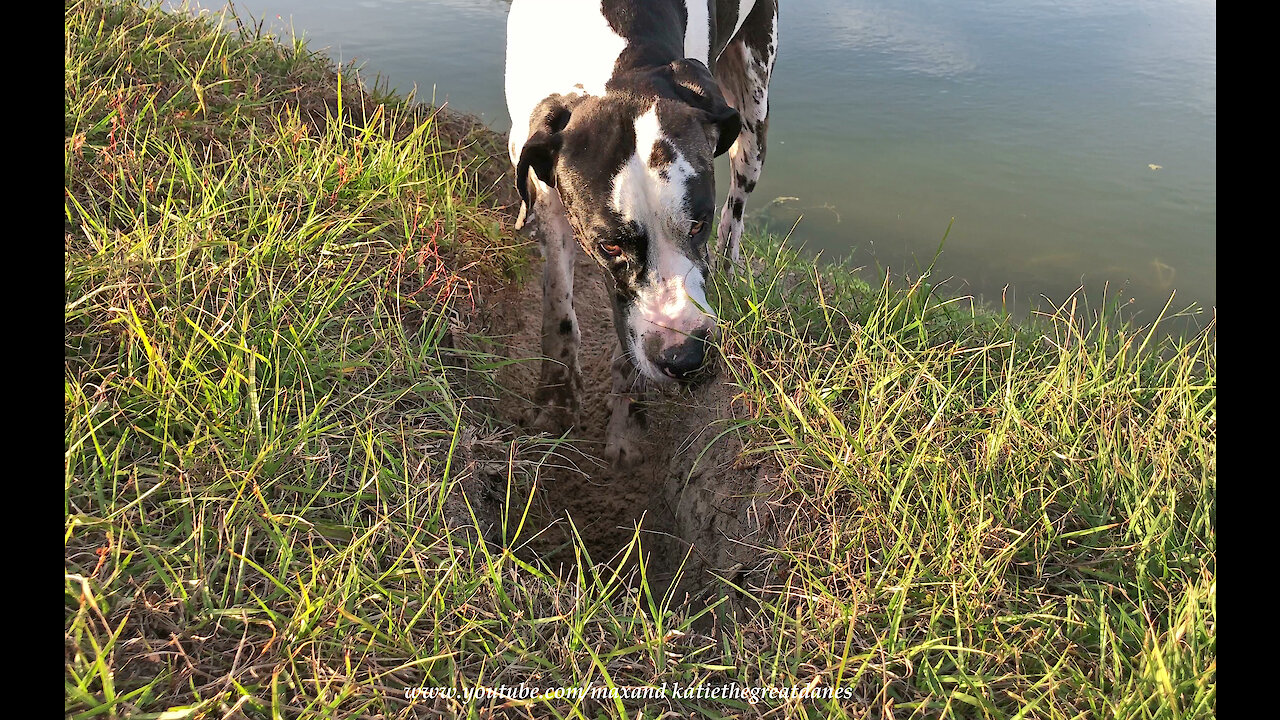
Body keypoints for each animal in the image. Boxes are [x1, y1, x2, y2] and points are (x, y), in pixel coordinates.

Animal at [504, 0, 773, 466]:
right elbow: (557, 308)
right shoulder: (545, 193)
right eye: (609, 244)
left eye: (697, 224)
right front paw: (555, 404)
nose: (686, 358)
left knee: (737, 205)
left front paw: (627, 420)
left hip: (753, 112)